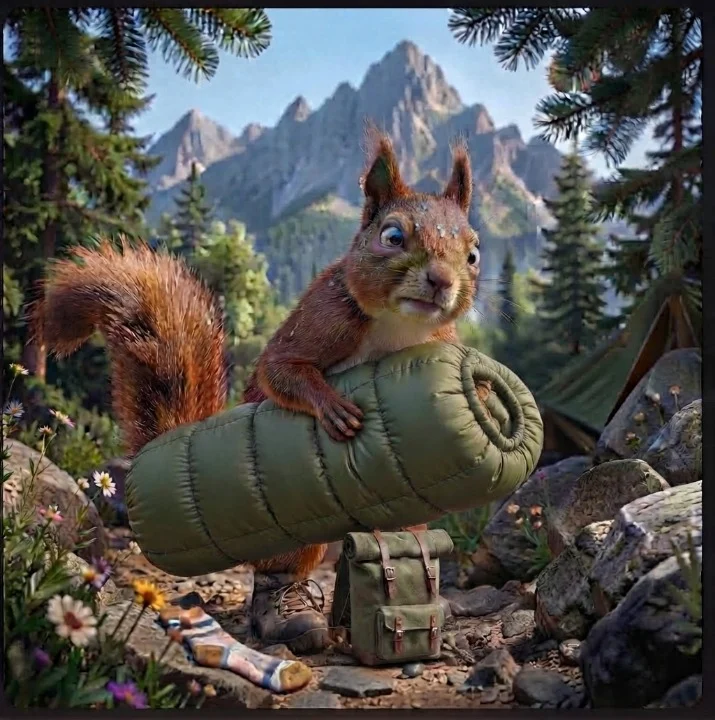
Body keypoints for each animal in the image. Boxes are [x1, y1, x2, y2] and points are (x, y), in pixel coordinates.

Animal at [34, 129, 479, 583]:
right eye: (392, 237)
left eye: (473, 254)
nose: (441, 280)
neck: (399, 325)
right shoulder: (325, 318)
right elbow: (279, 370)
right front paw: (332, 406)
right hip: (301, 542)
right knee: (280, 565)